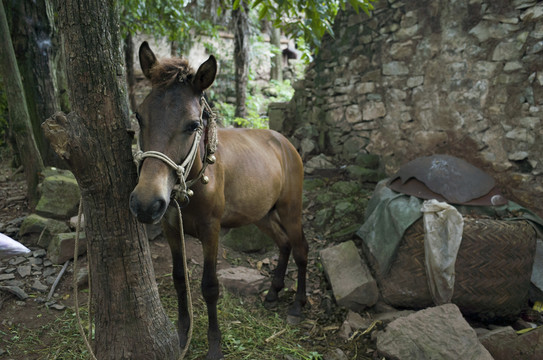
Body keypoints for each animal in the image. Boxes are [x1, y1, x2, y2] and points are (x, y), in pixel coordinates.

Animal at [130, 43, 308, 360]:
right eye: (139, 116)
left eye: (192, 125)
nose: (146, 204)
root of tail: (285, 143)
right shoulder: (171, 228)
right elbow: (179, 280)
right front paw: (182, 335)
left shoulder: (211, 230)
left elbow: (210, 287)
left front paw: (215, 345)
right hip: (262, 214)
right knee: (284, 243)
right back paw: (273, 291)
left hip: (291, 210)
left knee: (300, 249)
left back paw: (298, 305)